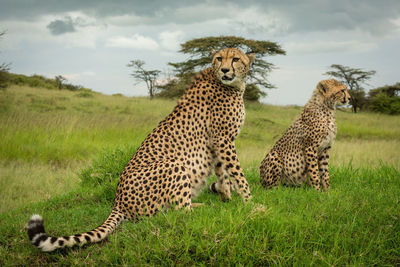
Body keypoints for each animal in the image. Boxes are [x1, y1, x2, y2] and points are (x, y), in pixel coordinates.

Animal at [28, 48, 255, 253]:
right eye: (219, 58)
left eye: (235, 59)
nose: (225, 70)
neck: (231, 84)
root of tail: (117, 201)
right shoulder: (223, 140)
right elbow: (237, 173)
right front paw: (250, 201)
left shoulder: (218, 144)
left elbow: (223, 173)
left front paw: (227, 199)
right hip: (173, 165)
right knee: (178, 213)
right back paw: (203, 209)